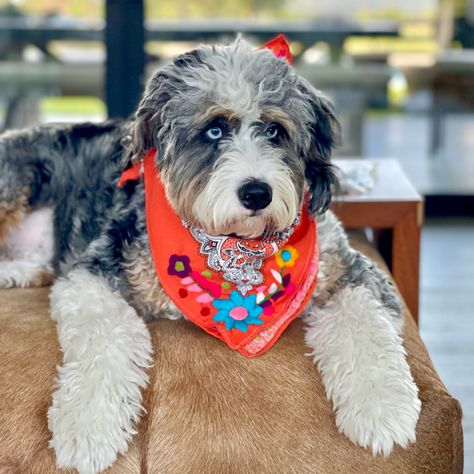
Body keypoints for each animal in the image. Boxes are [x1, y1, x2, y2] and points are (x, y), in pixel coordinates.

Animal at [0, 38, 422, 474]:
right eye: (214, 130)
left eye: (275, 131)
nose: (257, 193)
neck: (232, 247)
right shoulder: (93, 271)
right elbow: (105, 335)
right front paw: (87, 426)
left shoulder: (352, 272)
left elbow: (366, 326)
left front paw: (383, 410)